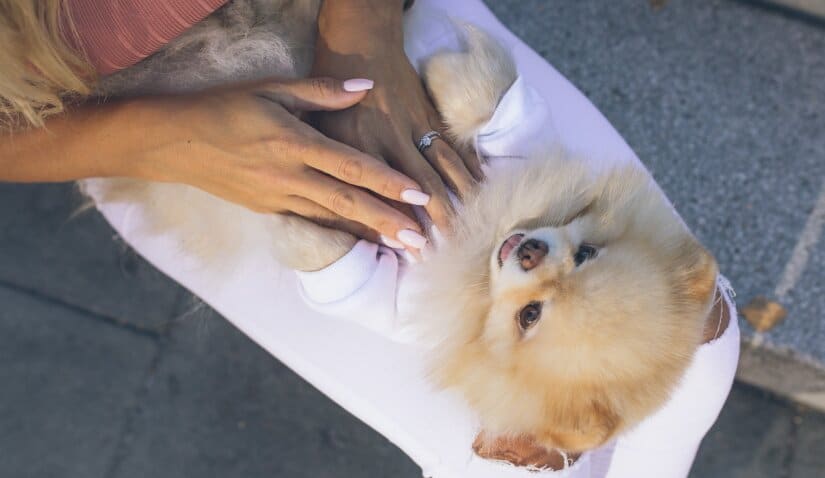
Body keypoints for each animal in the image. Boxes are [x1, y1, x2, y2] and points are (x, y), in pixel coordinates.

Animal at [82, 0, 716, 456]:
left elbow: (341, 264)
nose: (530, 251)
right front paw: (442, 73)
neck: (484, 243)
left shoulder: (399, 300)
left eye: (529, 317)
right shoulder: (515, 151)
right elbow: (496, 101)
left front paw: (291, 220)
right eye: (585, 253)